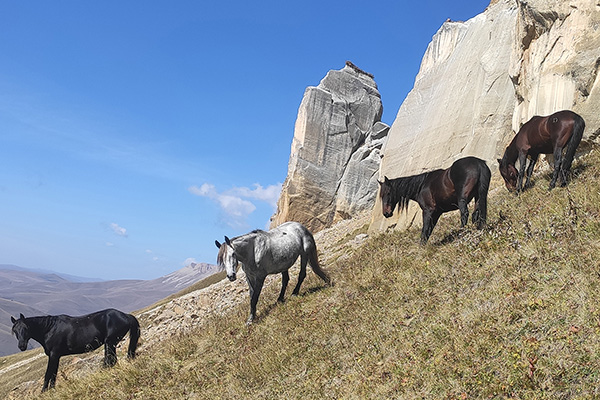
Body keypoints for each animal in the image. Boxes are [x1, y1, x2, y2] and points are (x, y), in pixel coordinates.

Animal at [11, 310, 140, 390]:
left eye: (26, 328)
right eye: (15, 330)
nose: (22, 346)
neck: (50, 329)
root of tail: (125, 315)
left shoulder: (53, 355)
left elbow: (48, 374)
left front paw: (44, 392)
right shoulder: (56, 356)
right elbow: (53, 374)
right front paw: (51, 390)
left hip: (110, 343)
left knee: (110, 361)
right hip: (110, 344)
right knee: (111, 361)